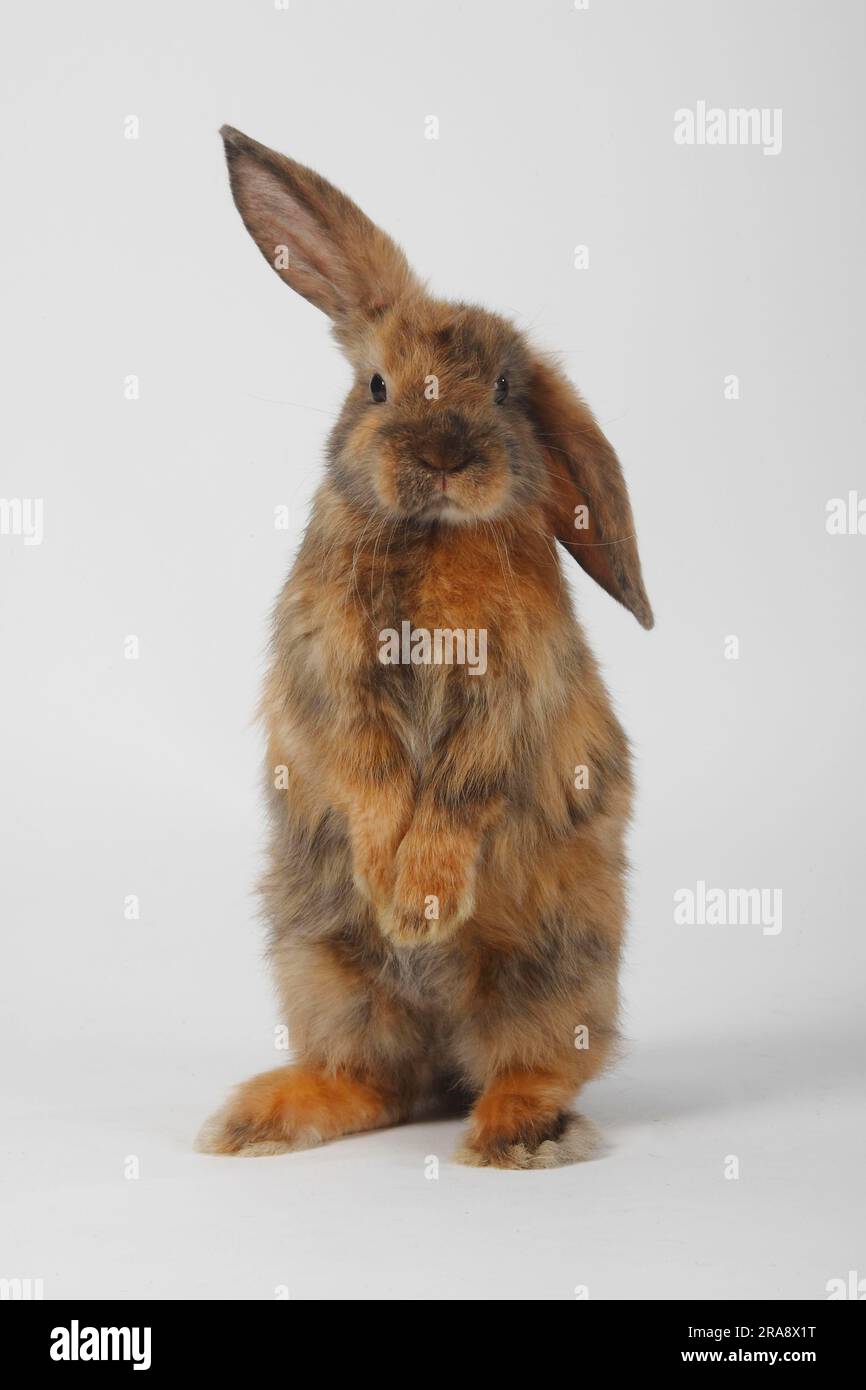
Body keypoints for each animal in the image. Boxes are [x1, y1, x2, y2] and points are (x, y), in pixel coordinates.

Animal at [197, 125, 653, 1170]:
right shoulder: (331, 676)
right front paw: (393, 892)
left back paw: (517, 1133)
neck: (433, 534)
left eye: (504, 389)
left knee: (534, 1063)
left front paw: (421, 902)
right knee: (375, 1081)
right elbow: (369, 774)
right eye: (376, 386)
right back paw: (259, 1118)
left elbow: (458, 790)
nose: (445, 456)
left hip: (554, 969)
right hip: (320, 967)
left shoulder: (509, 693)